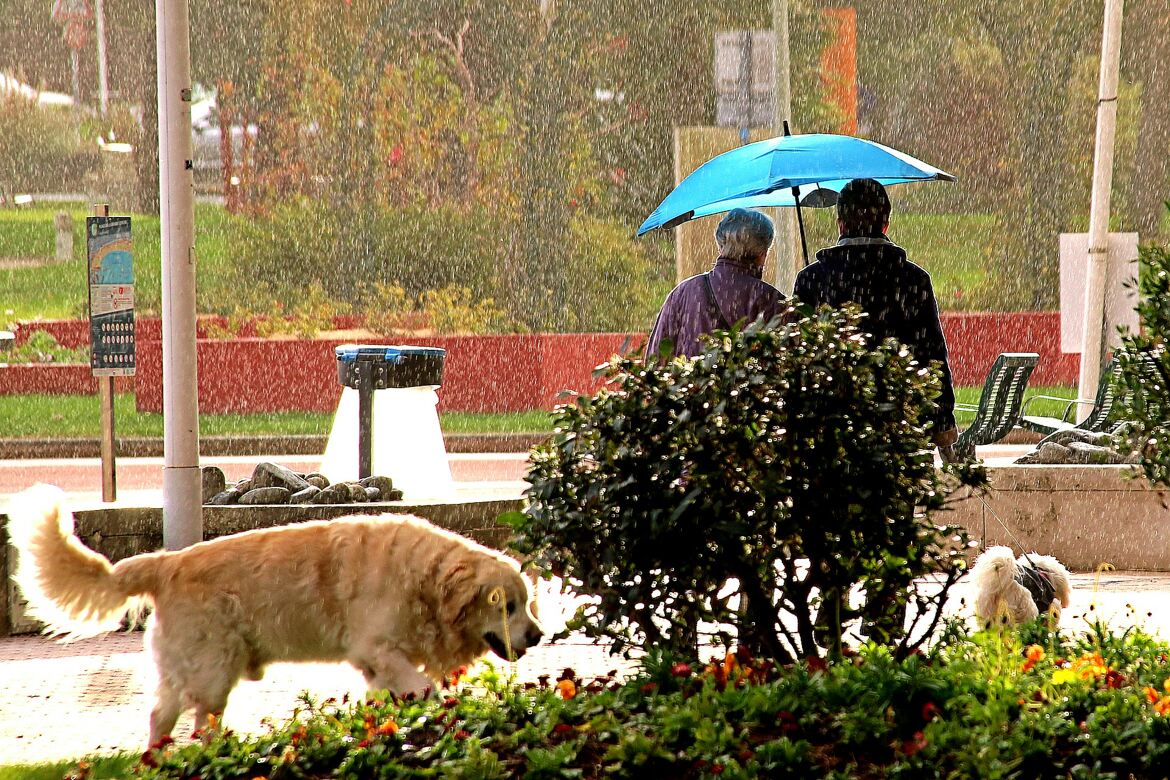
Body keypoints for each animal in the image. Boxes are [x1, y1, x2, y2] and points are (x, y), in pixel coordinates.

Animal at [8, 484, 542, 748]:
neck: (423, 580)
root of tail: (167, 561)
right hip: (212, 666)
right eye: (507, 604)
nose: (538, 636)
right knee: (194, 720)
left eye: (527, 602)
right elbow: (422, 687)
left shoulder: (377, 666)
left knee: (165, 717)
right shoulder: (377, 648)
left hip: (192, 670)